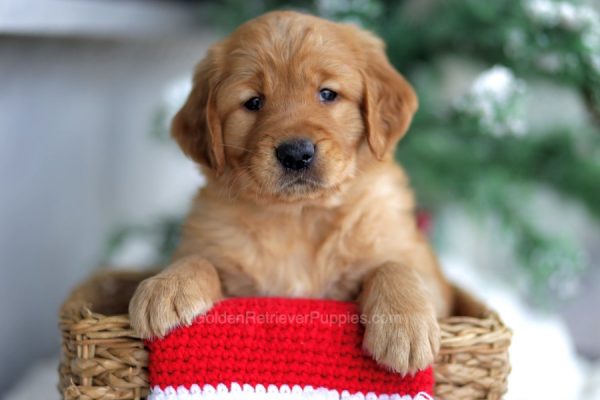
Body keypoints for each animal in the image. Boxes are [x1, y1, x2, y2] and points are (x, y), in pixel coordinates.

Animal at [129, 10, 452, 376]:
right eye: (253, 102)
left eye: (327, 94)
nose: (296, 154)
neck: (300, 216)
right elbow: (198, 259)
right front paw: (165, 286)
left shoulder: (433, 281)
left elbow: (393, 266)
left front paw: (404, 325)